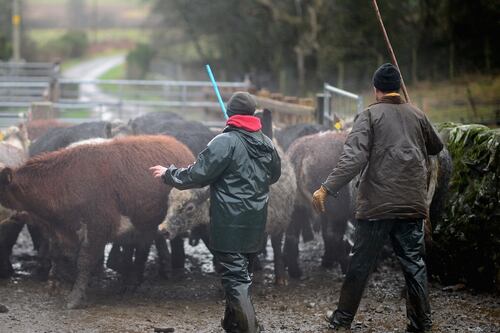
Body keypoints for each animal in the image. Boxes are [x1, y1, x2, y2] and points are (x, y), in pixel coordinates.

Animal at [0, 135, 193, 308]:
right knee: (142, 247)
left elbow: (84, 261)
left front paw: (75, 297)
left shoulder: (98, 228)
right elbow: (58, 255)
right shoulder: (60, 231)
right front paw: (56, 284)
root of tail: (175, 142)